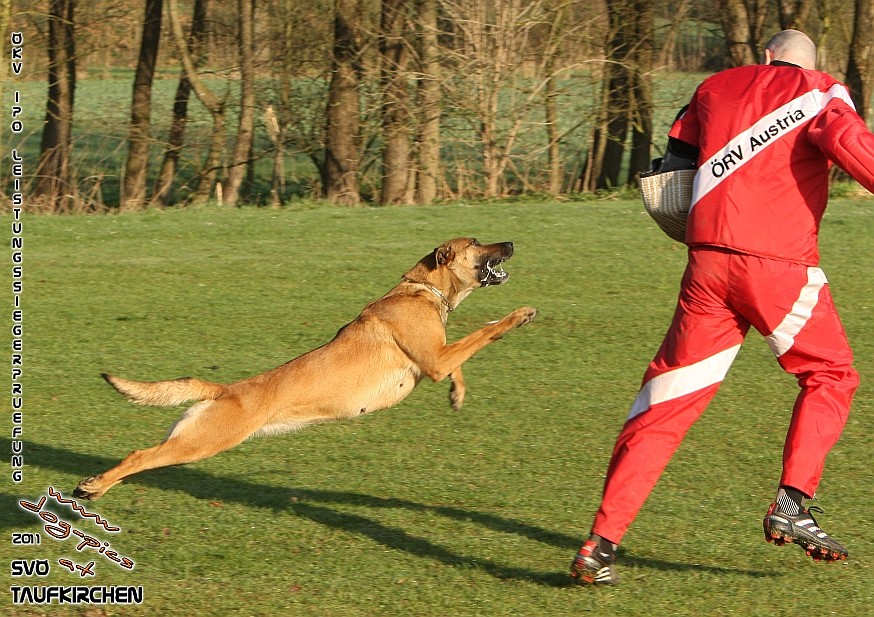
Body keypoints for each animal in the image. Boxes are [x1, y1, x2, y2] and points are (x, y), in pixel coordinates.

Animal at [75, 237, 536, 500]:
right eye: (476, 242)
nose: (512, 242)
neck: (422, 289)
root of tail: (224, 390)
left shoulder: (438, 358)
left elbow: (463, 358)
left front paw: (458, 393)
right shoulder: (437, 358)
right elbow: (486, 330)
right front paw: (520, 315)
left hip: (191, 438)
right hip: (201, 442)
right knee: (139, 455)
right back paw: (94, 486)